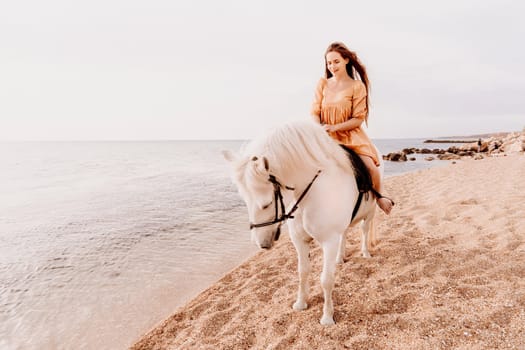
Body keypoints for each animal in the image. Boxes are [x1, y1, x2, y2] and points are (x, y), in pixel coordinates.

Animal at [222, 120, 380, 326]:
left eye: (267, 204)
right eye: (245, 201)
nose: (261, 243)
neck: (311, 194)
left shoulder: (329, 241)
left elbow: (326, 279)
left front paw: (327, 317)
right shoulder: (299, 240)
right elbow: (302, 271)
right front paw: (301, 303)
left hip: (370, 213)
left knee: (364, 229)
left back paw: (365, 253)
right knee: (345, 234)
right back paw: (340, 257)